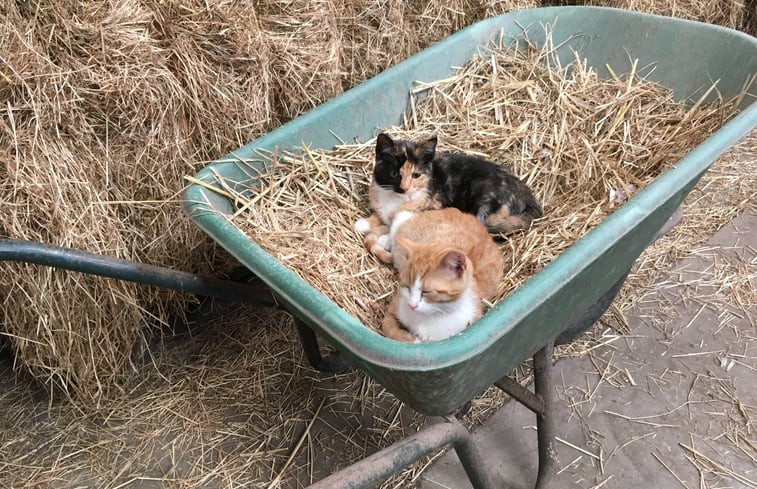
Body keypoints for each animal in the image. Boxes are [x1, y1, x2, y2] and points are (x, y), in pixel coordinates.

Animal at [352, 132, 536, 260]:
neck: (394, 198)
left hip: (486, 205)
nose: (404, 188)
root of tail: (525, 193)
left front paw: (386, 240)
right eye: (394, 174)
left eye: (416, 175)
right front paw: (363, 223)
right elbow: (381, 216)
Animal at [384, 208, 502, 342]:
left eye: (426, 292)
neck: (432, 317)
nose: (411, 305)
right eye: (407, 287)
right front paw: (412, 339)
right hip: (402, 218)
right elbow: (389, 330)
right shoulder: (392, 310)